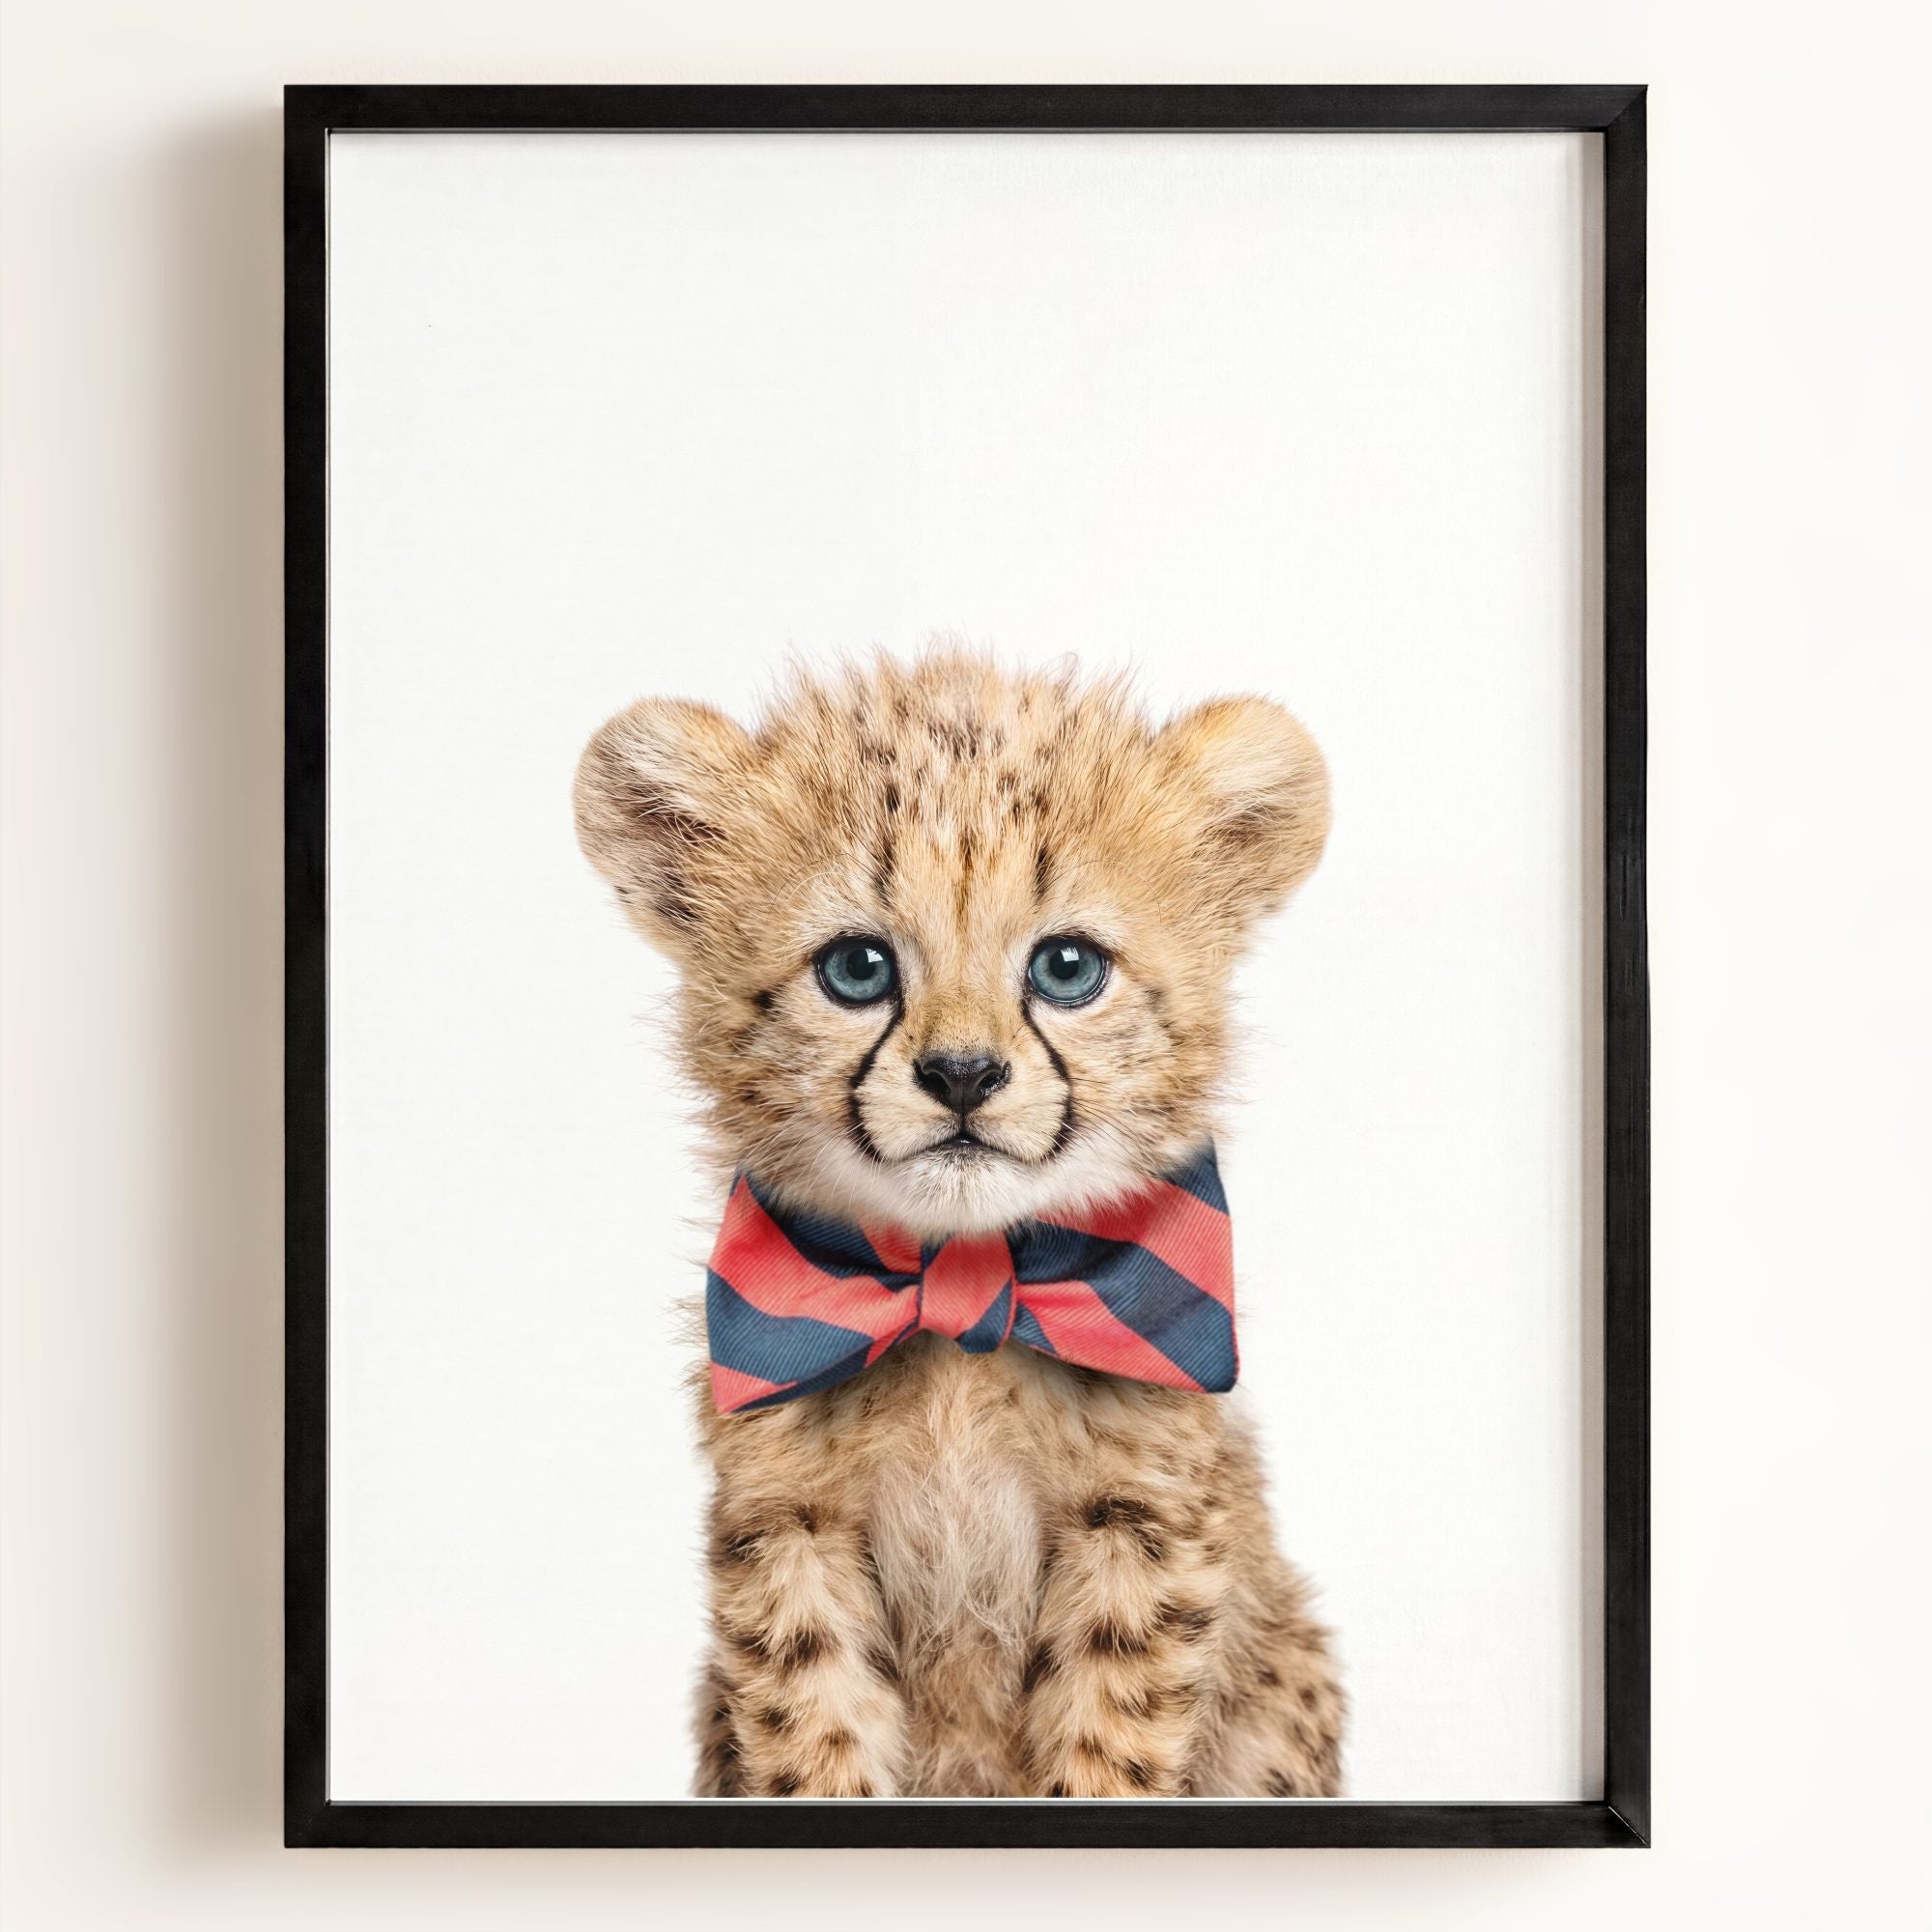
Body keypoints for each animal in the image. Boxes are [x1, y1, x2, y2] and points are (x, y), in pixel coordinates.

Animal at [574, 648, 1344, 1798]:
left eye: (1067, 967)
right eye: (857, 967)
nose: (963, 1074)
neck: (964, 1299)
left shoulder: (1140, 1524)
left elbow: (1107, 1743)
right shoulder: (788, 1526)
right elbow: (814, 1737)